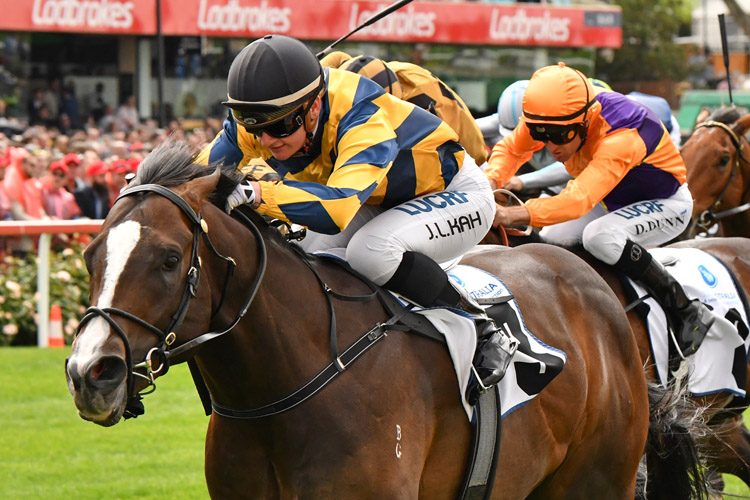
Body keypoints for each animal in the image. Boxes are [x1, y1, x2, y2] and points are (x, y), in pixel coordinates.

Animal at [67, 142, 708, 500]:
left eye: (169, 259)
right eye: (91, 253)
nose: (89, 373)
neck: (284, 391)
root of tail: (590, 283)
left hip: (597, 479)